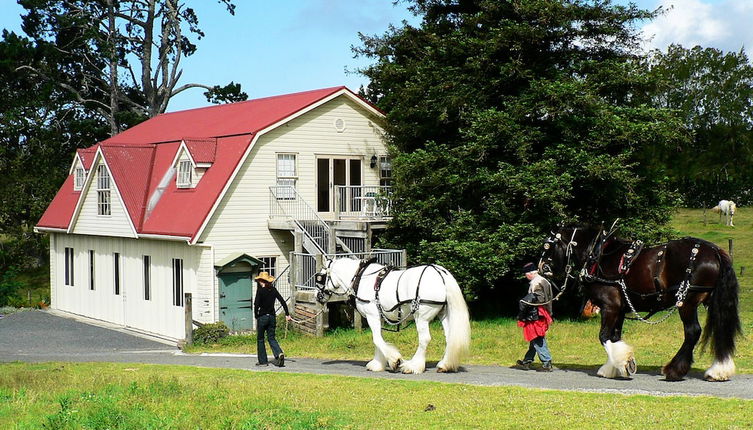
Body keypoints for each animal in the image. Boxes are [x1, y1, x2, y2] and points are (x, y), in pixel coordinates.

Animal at [312, 256, 470, 374]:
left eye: (320, 277)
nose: (317, 296)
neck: (359, 278)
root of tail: (440, 272)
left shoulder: (372, 315)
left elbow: (376, 339)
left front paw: (395, 361)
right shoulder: (379, 317)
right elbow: (378, 339)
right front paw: (377, 364)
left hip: (421, 317)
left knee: (424, 339)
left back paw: (413, 366)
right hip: (443, 314)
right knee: (449, 337)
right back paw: (445, 364)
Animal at [540, 227, 740, 382]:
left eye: (548, 246)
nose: (542, 267)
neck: (597, 256)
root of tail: (714, 251)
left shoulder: (610, 306)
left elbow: (604, 336)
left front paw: (622, 364)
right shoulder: (620, 309)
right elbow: (615, 336)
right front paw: (616, 367)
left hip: (687, 302)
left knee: (692, 332)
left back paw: (674, 370)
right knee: (720, 328)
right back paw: (718, 371)